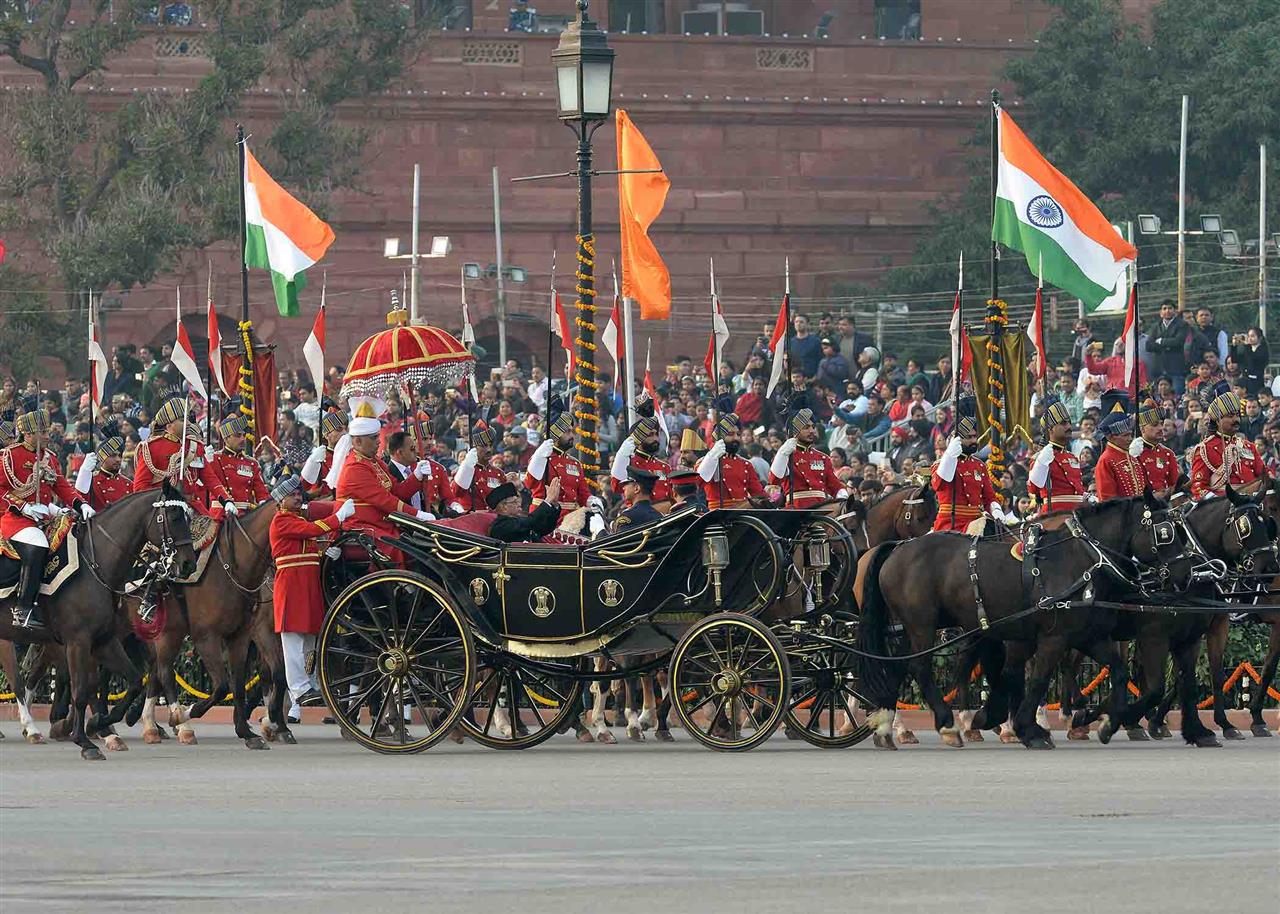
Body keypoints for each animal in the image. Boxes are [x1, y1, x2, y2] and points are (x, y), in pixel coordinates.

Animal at [855, 491, 1192, 747]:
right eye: (1165, 532)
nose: (1186, 575)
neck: (1082, 558)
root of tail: (897, 548)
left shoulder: (1088, 635)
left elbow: (1119, 672)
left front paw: (1103, 720)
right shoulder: (1053, 637)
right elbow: (1039, 679)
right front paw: (1028, 728)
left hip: (913, 627)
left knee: (899, 665)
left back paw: (886, 725)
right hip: (922, 625)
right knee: (919, 667)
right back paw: (946, 723)